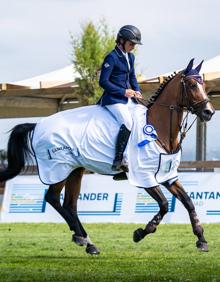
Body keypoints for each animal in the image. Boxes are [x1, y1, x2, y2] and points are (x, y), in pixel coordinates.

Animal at [0, 58, 215, 254]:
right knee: (53, 198)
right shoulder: (143, 176)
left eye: (204, 85)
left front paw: (201, 239)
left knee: (69, 204)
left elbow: (188, 202)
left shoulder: (167, 175)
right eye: (192, 85)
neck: (158, 129)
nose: (209, 112)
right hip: (58, 169)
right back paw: (84, 239)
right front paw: (141, 232)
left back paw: (85, 240)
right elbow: (163, 205)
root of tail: (37, 125)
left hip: (75, 170)